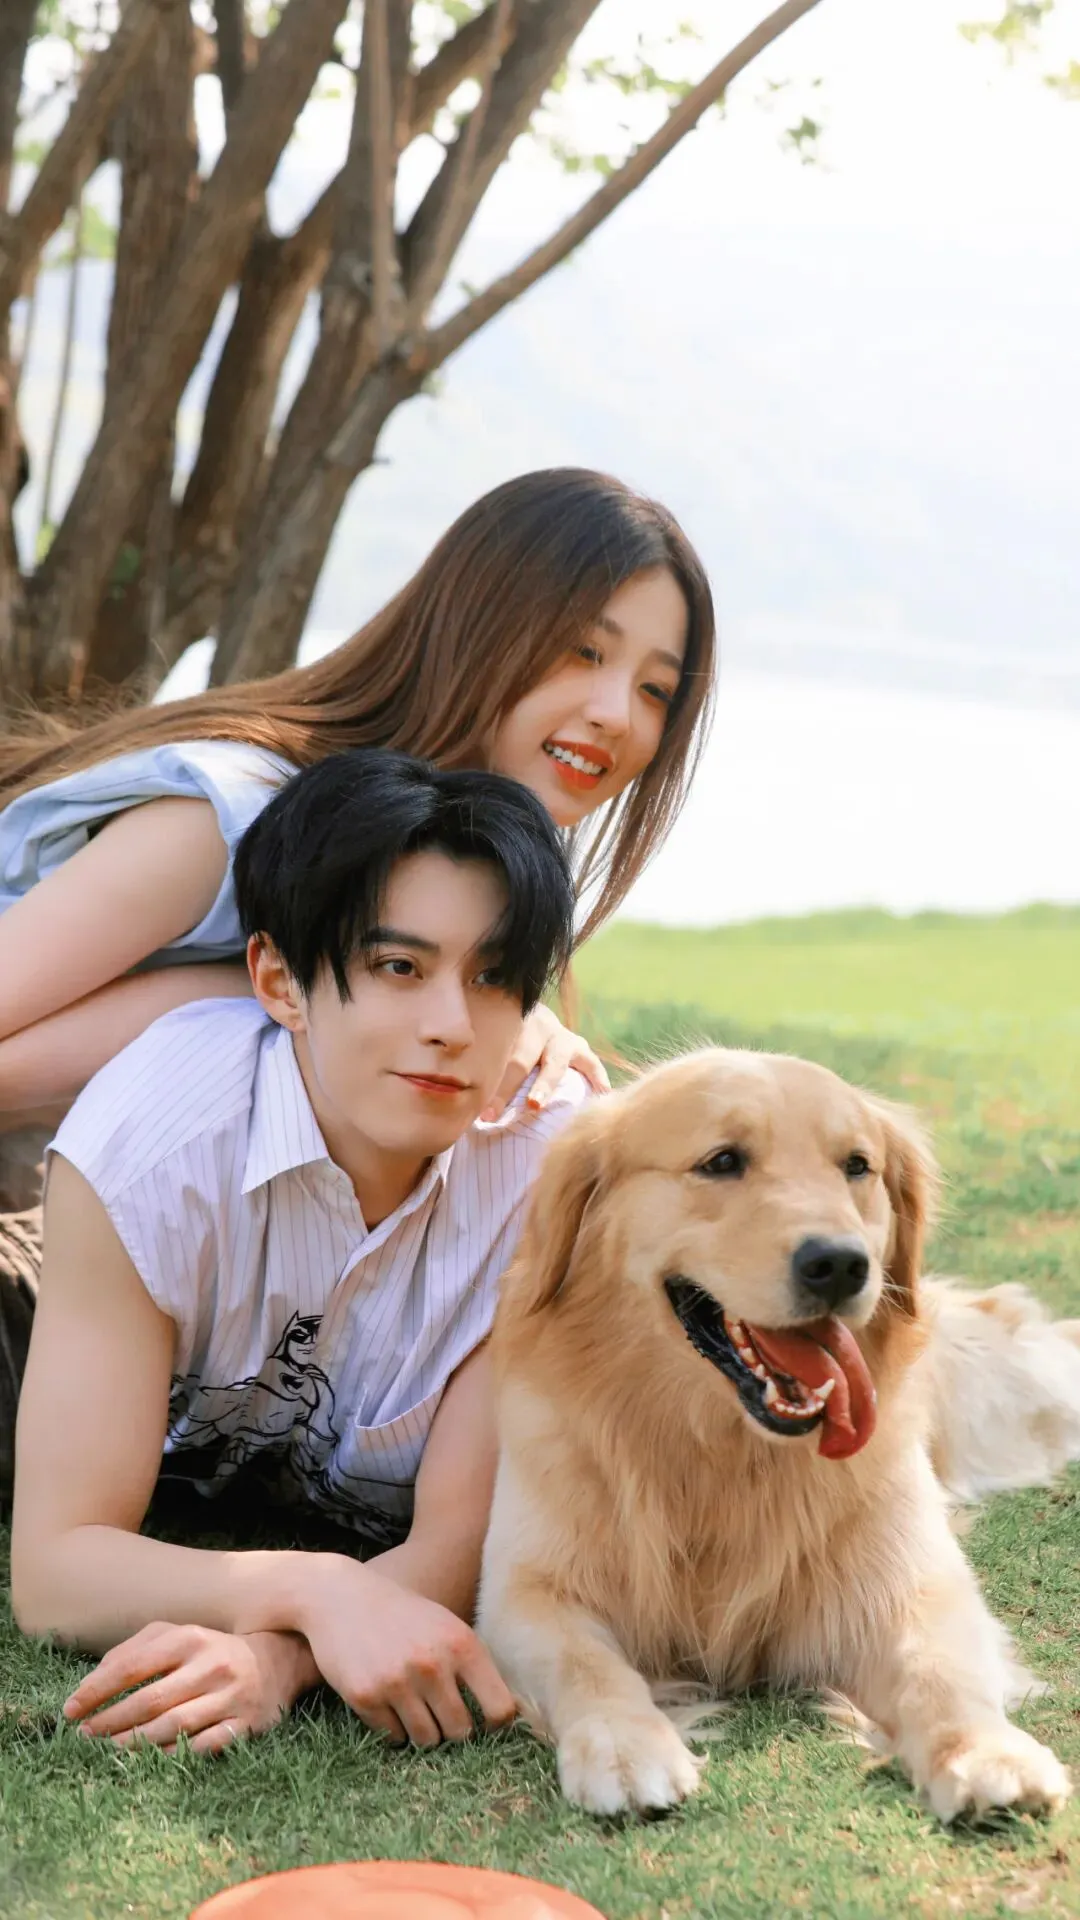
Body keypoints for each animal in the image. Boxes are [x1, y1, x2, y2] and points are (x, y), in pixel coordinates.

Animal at [478, 1048, 1074, 1823]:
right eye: (723, 1161)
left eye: (857, 1165)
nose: (840, 1264)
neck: (722, 1453)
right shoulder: (521, 1589)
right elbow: (588, 1662)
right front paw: (624, 1745)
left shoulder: (912, 1580)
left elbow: (939, 1669)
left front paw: (988, 1750)